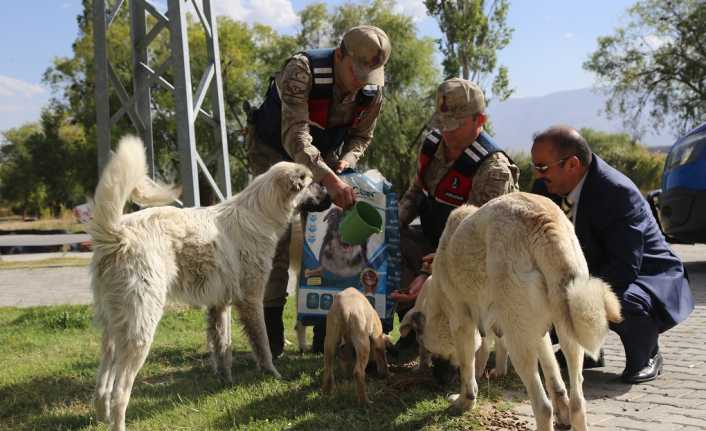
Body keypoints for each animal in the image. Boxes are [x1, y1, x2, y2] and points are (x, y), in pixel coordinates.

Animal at [87, 137, 310, 431]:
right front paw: (272, 373)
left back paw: (102, 415)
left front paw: (226, 380)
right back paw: (118, 422)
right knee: (119, 393)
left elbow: (223, 347)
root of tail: (117, 234)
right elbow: (262, 343)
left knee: (102, 386)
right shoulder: (251, 299)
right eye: (314, 184)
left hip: (114, 330)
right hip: (140, 330)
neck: (260, 211)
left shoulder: (220, 304)